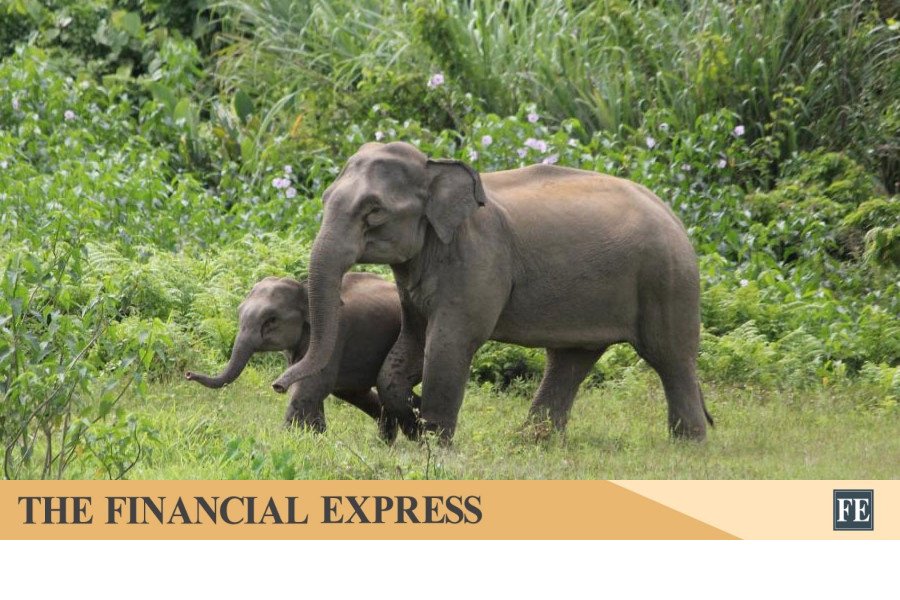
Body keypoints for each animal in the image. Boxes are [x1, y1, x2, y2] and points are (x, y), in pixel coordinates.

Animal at [185, 273, 418, 440]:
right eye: (239, 312)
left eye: (271, 320)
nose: (188, 374)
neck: (305, 288)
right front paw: (317, 438)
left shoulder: (335, 334)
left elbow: (314, 383)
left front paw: (285, 441)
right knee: (352, 392)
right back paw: (386, 441)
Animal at [271, 141, 713, 443]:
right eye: (325, 199)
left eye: (374, 211)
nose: (276, 385)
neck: (434, 167)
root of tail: (675, 214)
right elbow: (409, 345)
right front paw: (413, 422)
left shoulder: (477, 260)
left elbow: (449, 344)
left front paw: (433, 443)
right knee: (571, 359)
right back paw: (533, 442)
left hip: (666, 280)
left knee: (670, 356)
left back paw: (687, 445)